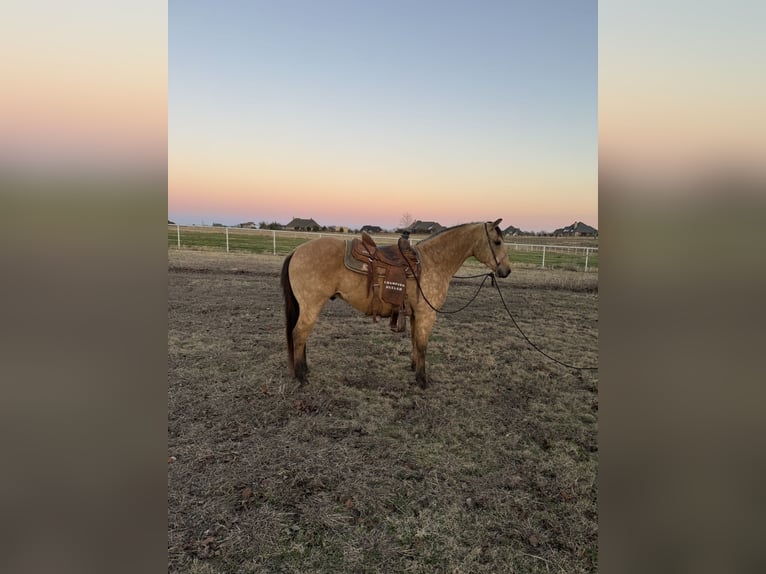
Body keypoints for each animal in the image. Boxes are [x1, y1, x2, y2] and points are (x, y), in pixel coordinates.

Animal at [280, 218, 512, 390]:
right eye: (497, 242)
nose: (507, 271)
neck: (433, 262)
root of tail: (296, 251)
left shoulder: (416, 314)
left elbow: (414, 341)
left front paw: (413, 367)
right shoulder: (427, 314)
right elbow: (423, 345)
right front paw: (422, 380)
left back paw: (305, 371)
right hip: (311, 306)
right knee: (299, 335)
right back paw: (301, 377)